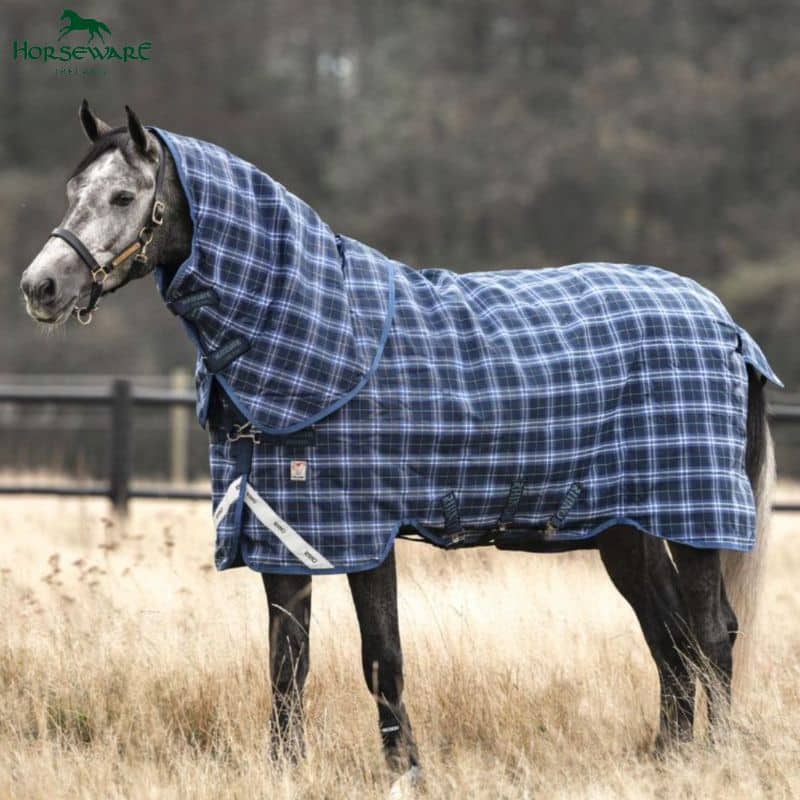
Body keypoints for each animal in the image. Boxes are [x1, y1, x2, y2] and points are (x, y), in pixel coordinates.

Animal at [20, 101, 777, 783]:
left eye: (124, 195)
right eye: (73, 192)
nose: (40, 287)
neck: (318, 335)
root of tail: (726, 326)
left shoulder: (365, 532)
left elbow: (381, 656)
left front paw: (404, 770)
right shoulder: (283, 530)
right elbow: (286, 662)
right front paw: (284, 769)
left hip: (694, 515)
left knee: (713, 634)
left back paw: (713, 760)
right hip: (628, 527)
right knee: (670, 637)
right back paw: (669, 758)